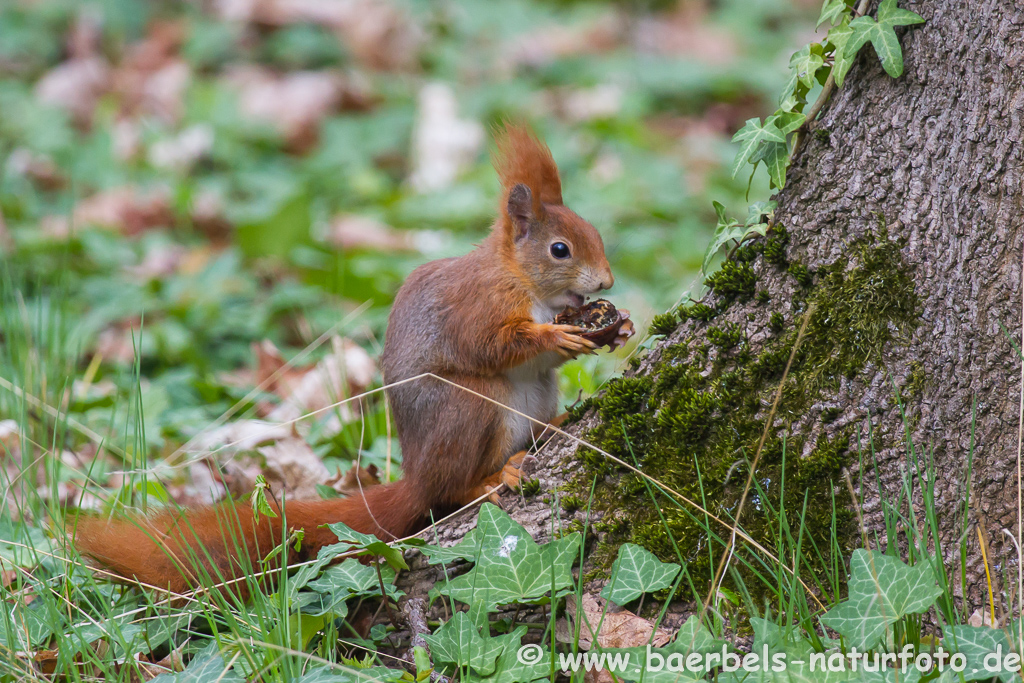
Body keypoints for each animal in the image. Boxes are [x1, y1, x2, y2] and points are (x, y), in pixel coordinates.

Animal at [74, 125, 630, 593]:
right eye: (560, 250)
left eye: (596, 233)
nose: (606, 282)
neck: (524, 281)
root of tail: (415, 475)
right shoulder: (477, 306)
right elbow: (492, 345)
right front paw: (556, 337)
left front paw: (619, 328)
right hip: (471, 407)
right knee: (451, 490)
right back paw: (494, 476)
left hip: (534, 396)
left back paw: (554, 425)